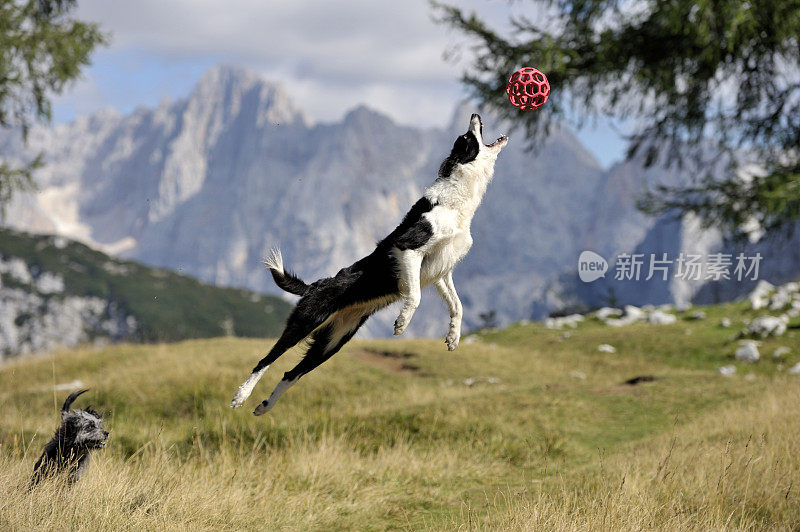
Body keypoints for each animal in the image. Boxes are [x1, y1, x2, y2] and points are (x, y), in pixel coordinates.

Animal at [230, 113, 506, 416]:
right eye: (467, 137)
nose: (475, 115)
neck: (458, 200)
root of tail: (317, 284)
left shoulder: (442, 271)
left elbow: (457, 305)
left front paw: (454, 337)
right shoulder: (408, 248)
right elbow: (415, 296)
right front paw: (401, 324)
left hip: (333, 342)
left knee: (290, 374)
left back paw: (264, 407)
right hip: (306, 321)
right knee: (265, 360)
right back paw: (241, 396)